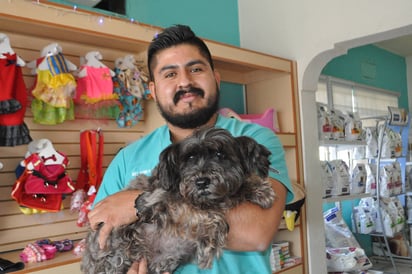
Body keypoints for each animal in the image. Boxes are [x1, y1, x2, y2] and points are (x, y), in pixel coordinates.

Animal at [81, 127, 276, 274]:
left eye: (220, 154)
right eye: (189, 158)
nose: (202, 182)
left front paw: (259, 189)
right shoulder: (157, 200)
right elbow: (208, 215)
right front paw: (209, 242)